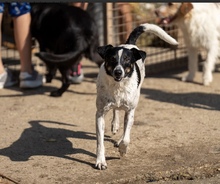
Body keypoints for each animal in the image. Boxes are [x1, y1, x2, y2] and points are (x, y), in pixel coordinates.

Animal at [95, 23, 178, 170]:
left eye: (127, 60)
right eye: (112, 59)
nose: (118, 72)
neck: (118, 86)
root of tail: (129, 44)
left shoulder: (130, 112)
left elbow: (127, 137)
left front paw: (123, 149)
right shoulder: (100, 114)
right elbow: (100, 141)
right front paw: (100, 161)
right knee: (116, 109)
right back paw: (115, 124)